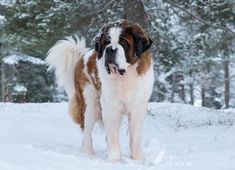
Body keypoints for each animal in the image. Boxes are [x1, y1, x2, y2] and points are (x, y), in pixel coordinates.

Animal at [46, 19, 154, 161]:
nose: (110, 49)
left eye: (123, 42)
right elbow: (113, 135)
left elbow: (135, 136)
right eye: (107, 42)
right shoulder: (110, 107)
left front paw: (138, 159)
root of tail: (82, 57)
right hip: (90, 104)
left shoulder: (138, 107)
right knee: (86, 132)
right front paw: (115, 160)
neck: (125, 76)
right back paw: (88, 154)